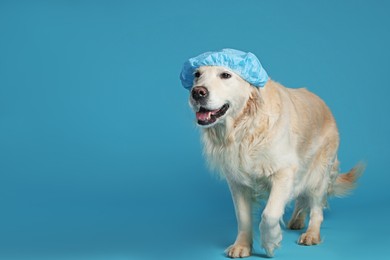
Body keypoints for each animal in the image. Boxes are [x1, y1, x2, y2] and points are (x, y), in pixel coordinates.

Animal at [187, 65, 364, 258]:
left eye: (225, 75)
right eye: (197, 75)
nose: (197, 92)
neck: (244, 128)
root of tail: (324, 104)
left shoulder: (284, 172)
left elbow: (269, 214)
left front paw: (270, 242)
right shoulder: (237, 181)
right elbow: (243, 217)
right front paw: (242, 246)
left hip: (319, 174)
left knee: (316, 208)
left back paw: (311, 234)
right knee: (302, 197)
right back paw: (297, 220)